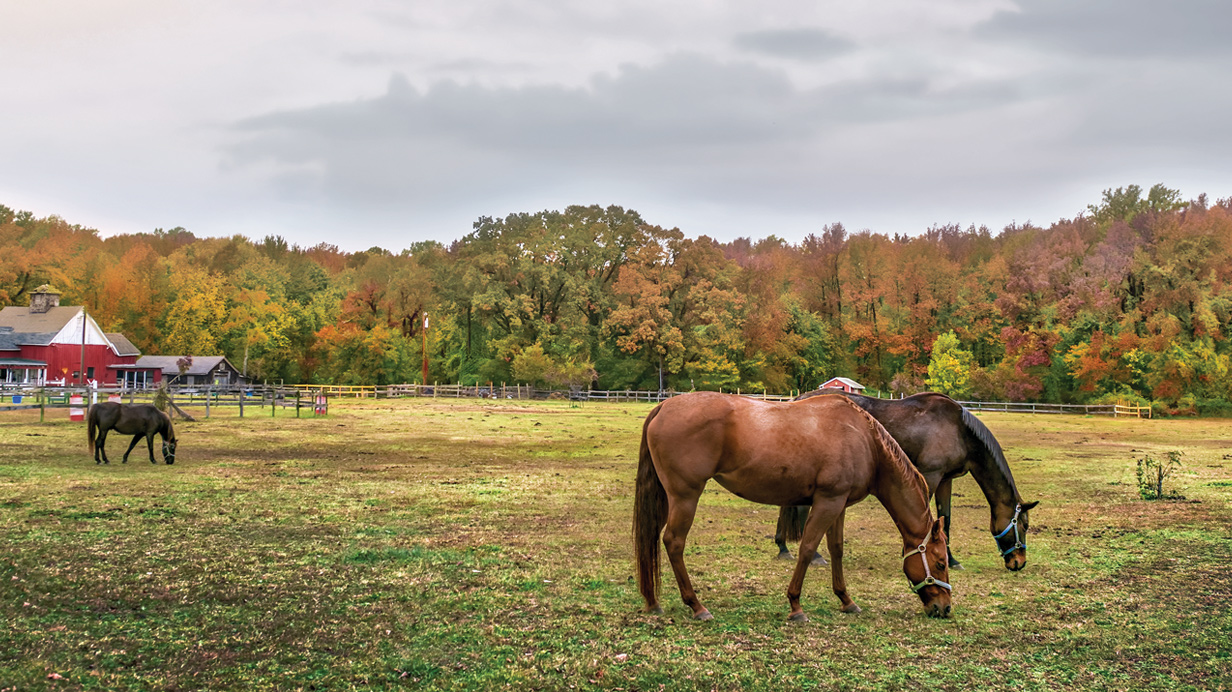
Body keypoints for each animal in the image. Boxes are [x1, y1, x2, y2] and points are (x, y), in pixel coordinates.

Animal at [635, 389, 951, 620]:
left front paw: (846, 600)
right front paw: (796, 605)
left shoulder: (839, 504)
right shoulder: (827, 502)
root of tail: (664, 407)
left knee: (651, 538)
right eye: (940, 562)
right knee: (674, 542)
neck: (863, 438)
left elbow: (836, 549)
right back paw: (696, 605)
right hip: (685, 497)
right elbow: (808, 548)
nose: (945, 607)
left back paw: (652, 601)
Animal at [778, 389, 1039, 571]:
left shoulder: (945, 480)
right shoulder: (931, 475)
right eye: (1024, 525)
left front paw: (951, 559)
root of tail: (798, 399)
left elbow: (946, 519)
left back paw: (782, 547)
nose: (1019, 562)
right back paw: (814, 556)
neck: (959, 430)